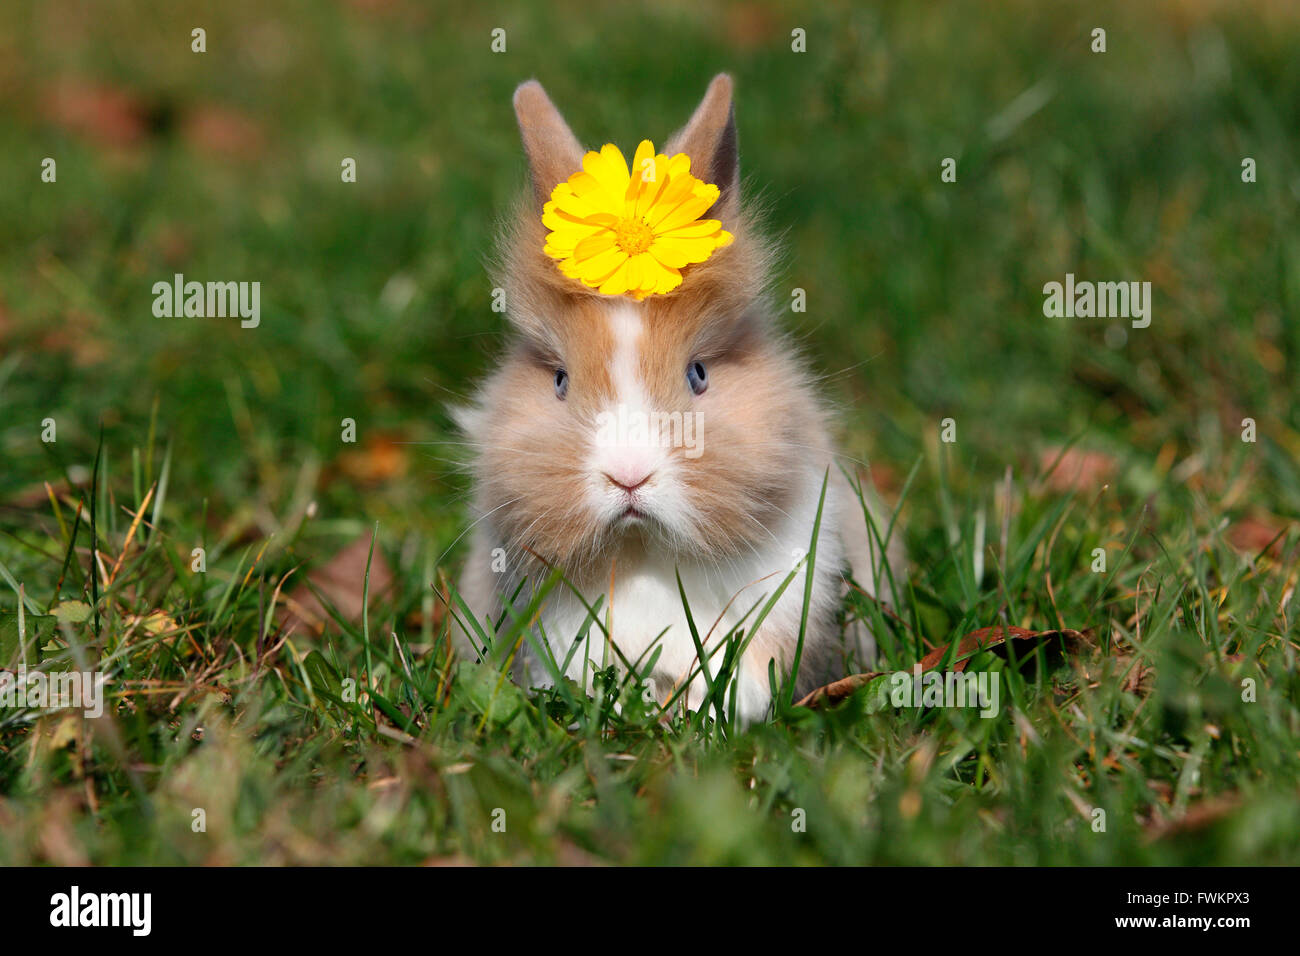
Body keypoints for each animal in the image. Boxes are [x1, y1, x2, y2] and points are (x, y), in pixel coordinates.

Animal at [449, 72, 904, 723]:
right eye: (559, 379)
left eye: (699, 374)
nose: (629, 476)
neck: (644, 554)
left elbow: (751, 669)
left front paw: (708, 710)